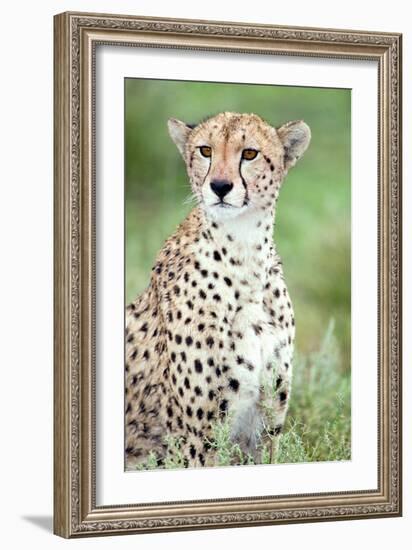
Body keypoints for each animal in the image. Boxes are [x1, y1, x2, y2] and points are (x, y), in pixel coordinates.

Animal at [124, 111, 310, 470]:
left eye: (249, 154)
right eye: (205, 150)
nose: (220, 186)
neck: (244, 256)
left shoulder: (265, 425)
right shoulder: (200, 439)